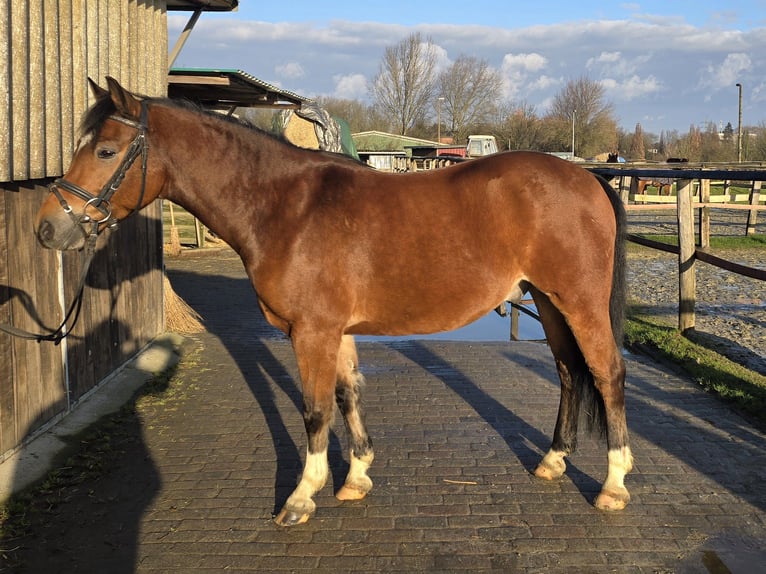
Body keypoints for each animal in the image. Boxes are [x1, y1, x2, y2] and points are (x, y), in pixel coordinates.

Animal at [34, 79, 636, 528]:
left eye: (106, 151)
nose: (48, 228)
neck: (285, 208)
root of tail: (587, 178)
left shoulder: (312, 331)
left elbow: (314, 408)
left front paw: (303, 495)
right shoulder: (335, 331)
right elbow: (348, 394)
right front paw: (356, 477)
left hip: (578, 303)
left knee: (606, 373)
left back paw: (613, 484)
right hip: (549, 303)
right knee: (568, 372)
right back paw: (553, 461)